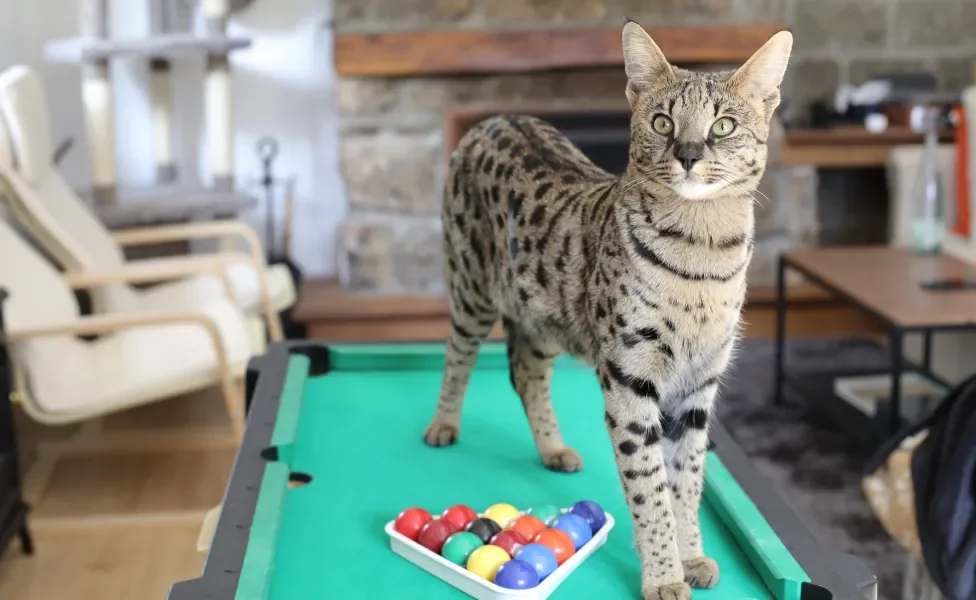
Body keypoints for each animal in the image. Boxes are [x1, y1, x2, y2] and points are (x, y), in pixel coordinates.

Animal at [426, 21, 792, 596]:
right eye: (663, 122)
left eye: (724, 125)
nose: (688, 153)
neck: (704, 252)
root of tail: (497, 116)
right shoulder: (630, 379)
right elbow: (650, 487)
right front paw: (663, 575)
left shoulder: (699, 386)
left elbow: (687, 481)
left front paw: (691, 556)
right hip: (470, 285)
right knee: (457, 354)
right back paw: (443, 423)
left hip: (541, 314)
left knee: (526, 374)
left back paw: (553, 449)